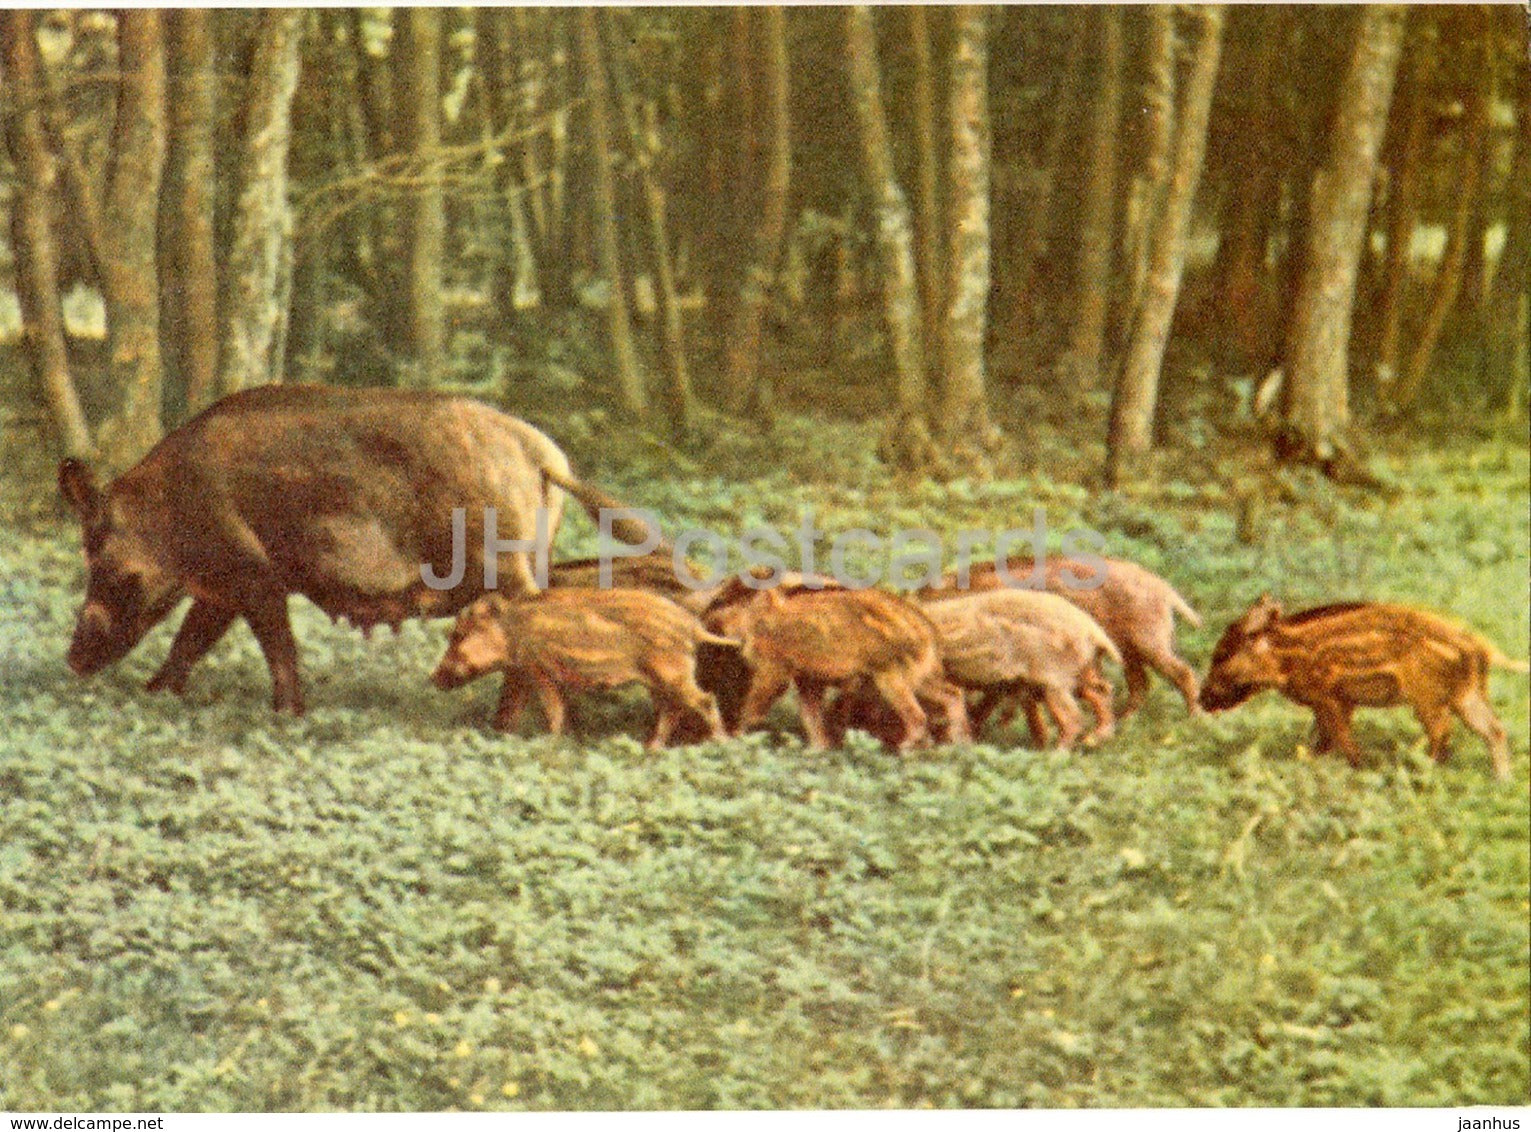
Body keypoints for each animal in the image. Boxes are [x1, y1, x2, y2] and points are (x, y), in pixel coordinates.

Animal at [58, 385, 655, 715]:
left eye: (98, 556)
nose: (72, 660)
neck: (170, 507)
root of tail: (544, 452)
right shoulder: (225, 587)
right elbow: (192, 638)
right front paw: (154, 692)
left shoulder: (252, 570)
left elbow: (275, 645)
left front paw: (286, 715)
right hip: (536, 558)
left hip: (507, 560)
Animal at [430, 588, 736, 747]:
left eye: (457, 635)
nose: (433, 677)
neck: (510, 632)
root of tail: (694, 627)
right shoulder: (521, 674)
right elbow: (512, 708)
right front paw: (503, 735)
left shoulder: (539, 670)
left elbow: (553, 710)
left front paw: (551, 742)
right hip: (659, 681)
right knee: (671, 710)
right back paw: (651, 748)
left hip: (671, 674)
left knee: (704, 700)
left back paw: (721, 743)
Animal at [704, 585, 969, 752]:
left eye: (728, 602)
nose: (713, 621)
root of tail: (927, 626)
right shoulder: (807, 679)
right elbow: (811, 716)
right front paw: (818, 749)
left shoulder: (774, 669)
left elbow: (753, 707)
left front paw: (737, 736)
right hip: (921, 675)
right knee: (953, 693)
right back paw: (961, 742)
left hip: (890, 675)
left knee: (917, 715)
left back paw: (908, 746)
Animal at [1199, 595, 1528, 780]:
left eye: (1221, 655)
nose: (1202, 700)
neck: (1285, 659)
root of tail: (1479, 646)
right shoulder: (1339, 701)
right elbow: (1322, 741)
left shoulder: (1329, 697)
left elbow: (1341, 739)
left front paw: (1358, 768)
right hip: (1466, 695)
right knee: (1495, 730)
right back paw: (1502, 780)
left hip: (1428, 699)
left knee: (1442, 734)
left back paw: (1425, 773)